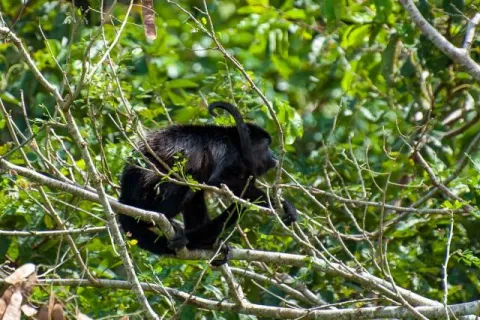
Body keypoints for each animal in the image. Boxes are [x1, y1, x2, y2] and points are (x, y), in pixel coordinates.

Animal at [118, 102, 298, 258]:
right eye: (267, 146)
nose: (274, 155)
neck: (238, 143)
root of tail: (124, 198)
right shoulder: (230, 153)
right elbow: (221, 180)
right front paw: (276, 203)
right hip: (146, 198)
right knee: (189, 181)